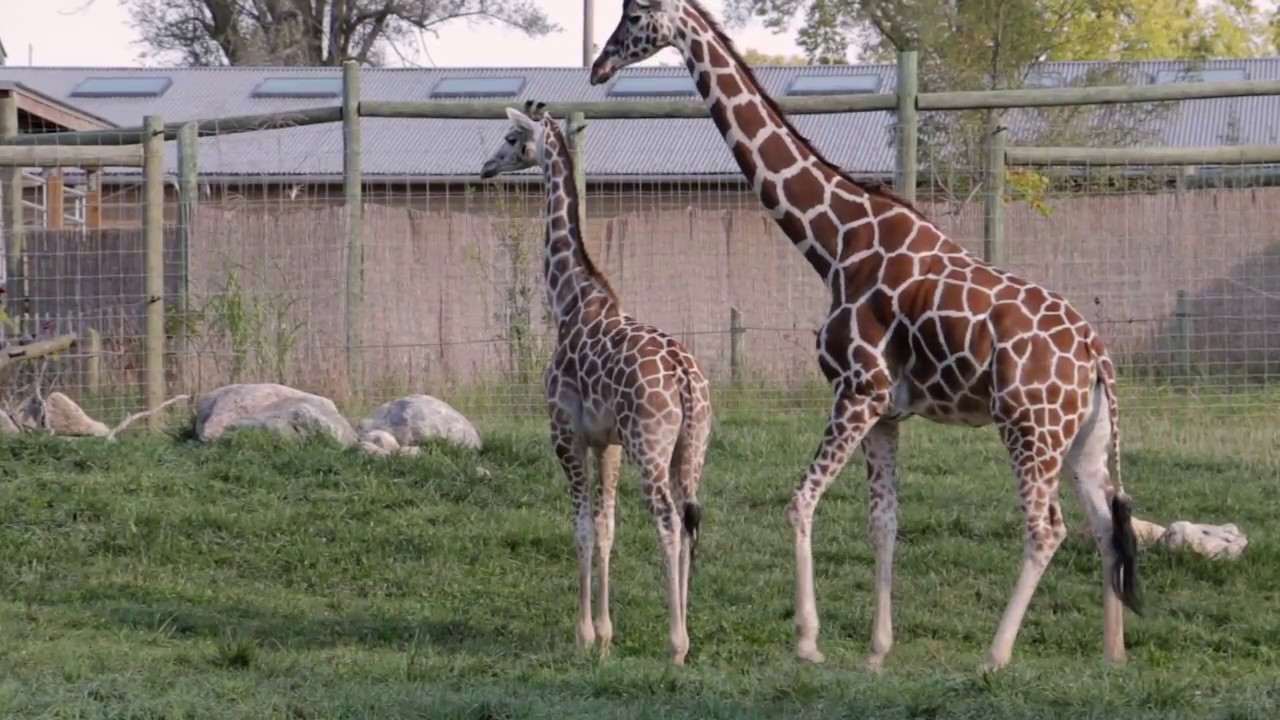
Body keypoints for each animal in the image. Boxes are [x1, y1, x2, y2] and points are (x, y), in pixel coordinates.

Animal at [480, 100, 714, 665]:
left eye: (511, 136)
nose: (486, 167)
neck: (568, 300)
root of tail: (685, 378)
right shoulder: (607, 442)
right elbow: (607, 528)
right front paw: (607, 634)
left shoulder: (566, 433)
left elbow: (583, 529)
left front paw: (584, 635)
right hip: (692, 446)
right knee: (691, 522)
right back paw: (686, 635)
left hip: (650, 446)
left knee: (668, 522)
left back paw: (676, 643)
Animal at [590, 0, 1142, 672]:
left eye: (634, 14)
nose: (598, 66)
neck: (835, 240)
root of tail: (1094, 352)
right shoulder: (886, 412)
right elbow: (883, 524)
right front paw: (877, 651)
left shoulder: (857, 390)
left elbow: (800, 502)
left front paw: (808, 641)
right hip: (1083, 437)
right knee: (1105, 522)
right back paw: (1112, 654)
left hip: (1029, 427)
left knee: (1047, 529)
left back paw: (995, 655)